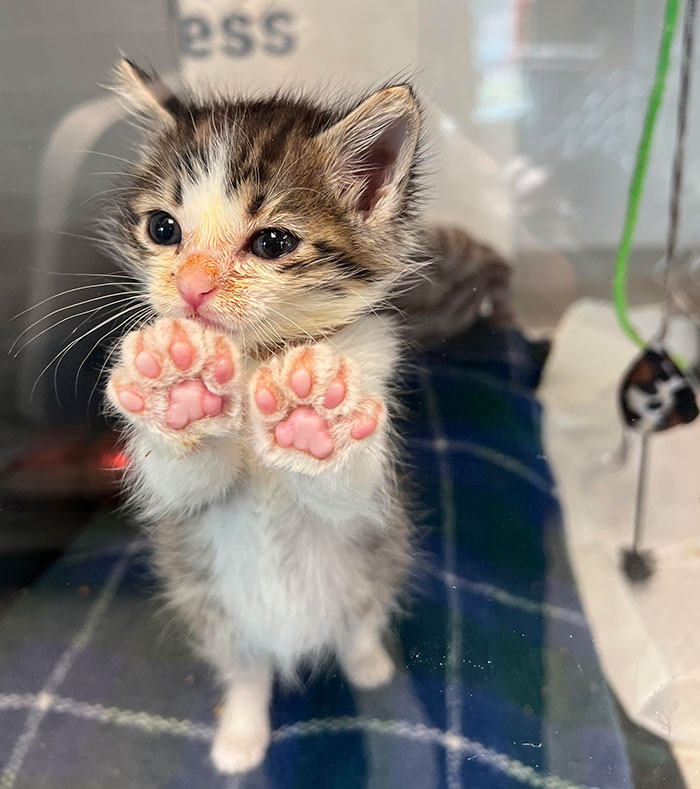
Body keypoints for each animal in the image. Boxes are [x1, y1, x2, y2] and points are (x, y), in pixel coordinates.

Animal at [104, 61, 422, 776]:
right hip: (210, 607)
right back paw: (240, 737)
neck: (252, 364)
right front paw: (179, 386)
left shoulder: (374, 472)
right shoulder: (183, 506)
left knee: (358, 623)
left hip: (380, 560)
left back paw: (368, 665)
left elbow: (347, 490)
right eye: (163, 229)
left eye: (273, 241)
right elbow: (184, 484)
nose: (192, 287)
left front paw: (313, 413)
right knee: (247, 672)